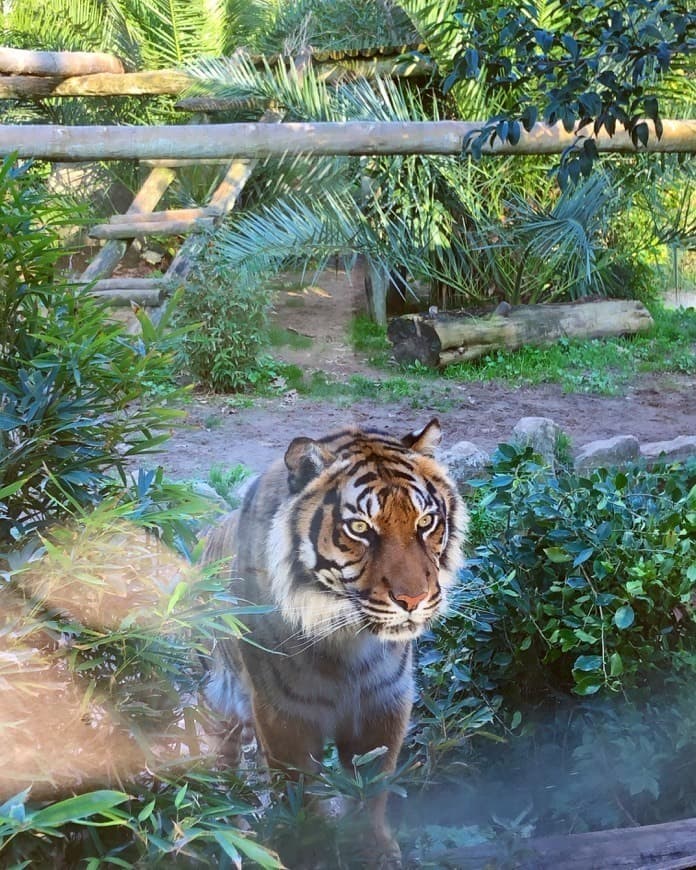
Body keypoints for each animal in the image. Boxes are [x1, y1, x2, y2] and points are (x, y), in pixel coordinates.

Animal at [207, 418, 468, 868]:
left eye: (425, 522)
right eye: (360, 528)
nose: (413, 600)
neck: (348, 640)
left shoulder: (384, 701)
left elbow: (372, 787)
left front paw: (373, 849)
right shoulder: (283, 714)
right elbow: (299, 792)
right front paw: (309, 847)